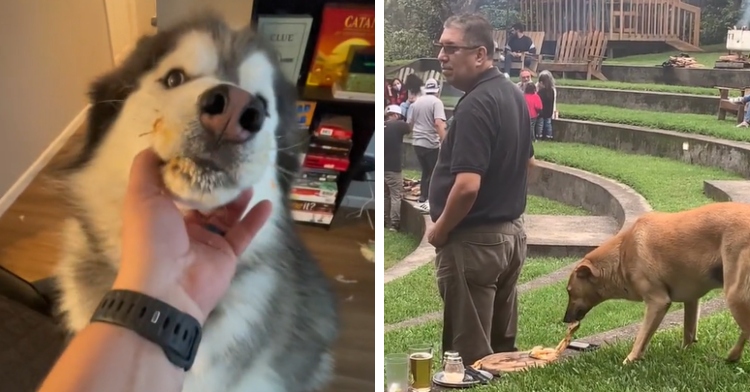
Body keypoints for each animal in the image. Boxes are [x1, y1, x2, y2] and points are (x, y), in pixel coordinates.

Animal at [568, 202, 750, 364]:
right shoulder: (691, 299)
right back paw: (732, 356)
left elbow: (642, 337)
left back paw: (734, 355)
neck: (622, 254)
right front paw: (684, 352)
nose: (565, 319)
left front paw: (630, 359)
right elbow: (689, 331)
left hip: (735, 296)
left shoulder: (658, 301)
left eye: (569, 291)